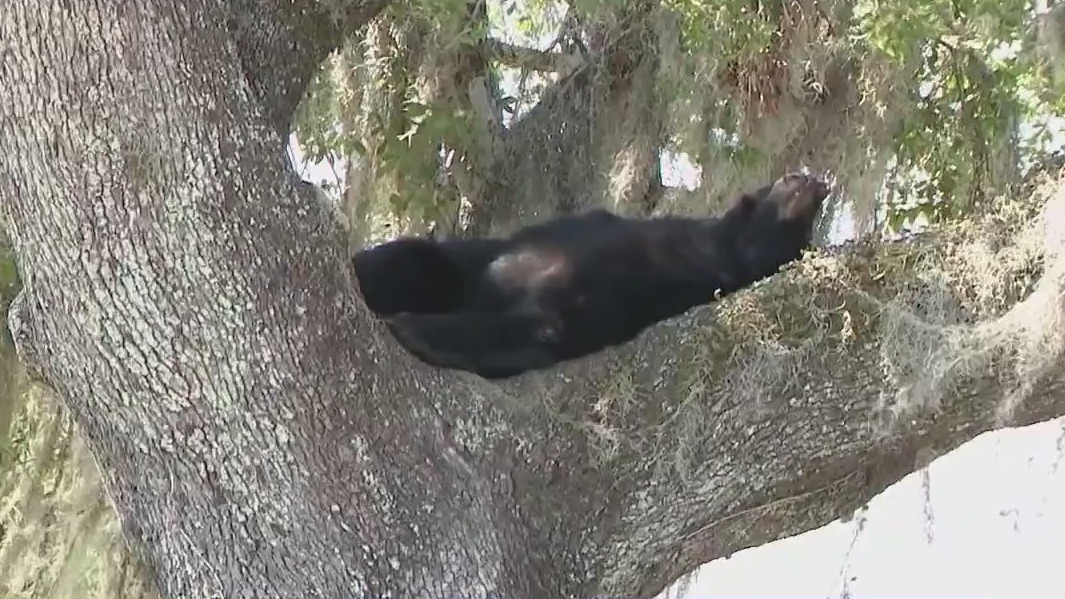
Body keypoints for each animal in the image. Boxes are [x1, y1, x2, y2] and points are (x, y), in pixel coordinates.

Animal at [354, 171, 830, 379]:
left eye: (805, 232)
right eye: (787, 181)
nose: (816, 182)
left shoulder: (622, 298)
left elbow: (540, 329)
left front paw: (413, 328)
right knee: (416, 260)